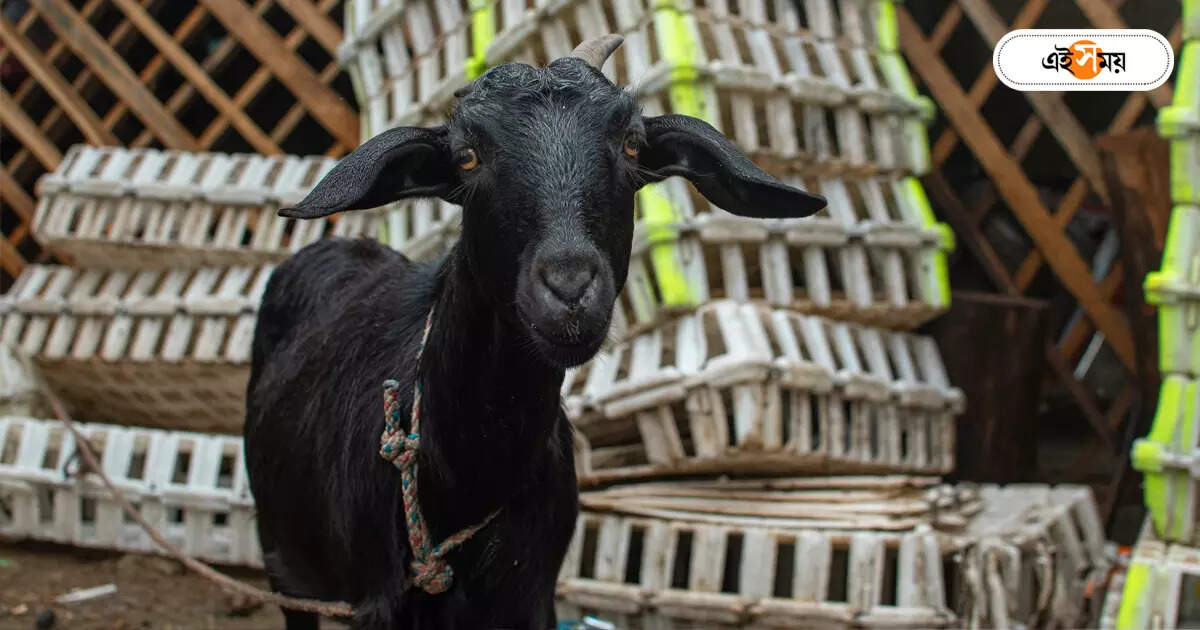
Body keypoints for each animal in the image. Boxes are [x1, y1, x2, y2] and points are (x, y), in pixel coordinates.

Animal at [243, 35, 825, 628]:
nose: (569, 288)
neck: (469, 476)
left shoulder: (532, 600)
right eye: (467, 156)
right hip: (281, 559)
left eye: (632, 145)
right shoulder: (374, 606)